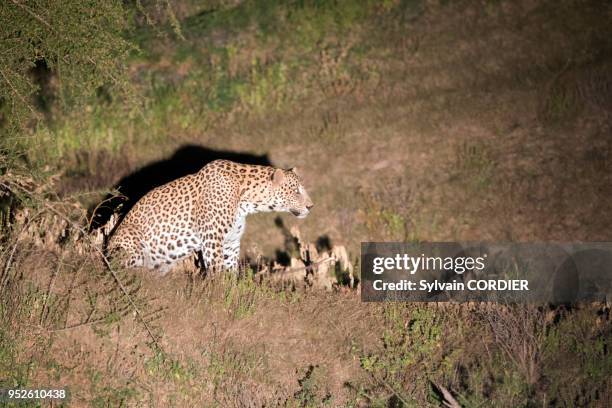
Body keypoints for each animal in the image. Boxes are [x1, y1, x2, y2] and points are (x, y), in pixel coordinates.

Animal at [105, 159, 314, 274]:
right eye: (296, 192)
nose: (311, 206)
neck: (247, 200)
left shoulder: (231, 241)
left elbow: (230, 270)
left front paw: (232, 294)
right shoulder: (212, 239)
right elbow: (217, 270)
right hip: (133, 245)